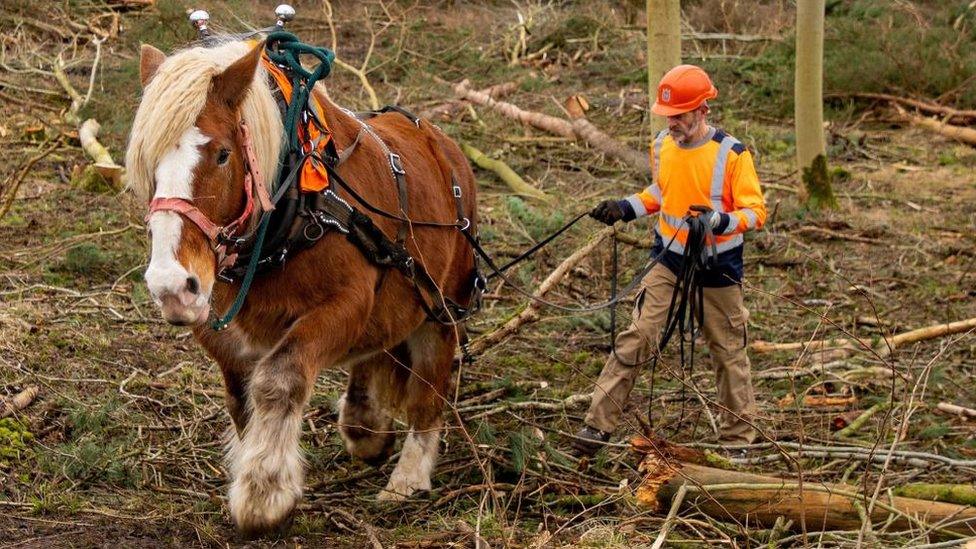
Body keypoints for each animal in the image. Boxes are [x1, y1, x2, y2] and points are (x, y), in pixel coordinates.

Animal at [127, 39, 478, 536]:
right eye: (148, 160)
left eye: (222, 154)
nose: (172, 286)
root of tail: (445, 147)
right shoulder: (219, 328)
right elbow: (241, 399)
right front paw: (252, 467)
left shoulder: (345, 304)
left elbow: (280, 377)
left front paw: (264, 493)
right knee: (374, 352)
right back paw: (364, 424)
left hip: (442, 307)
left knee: (430, 387)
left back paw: (408, 477)